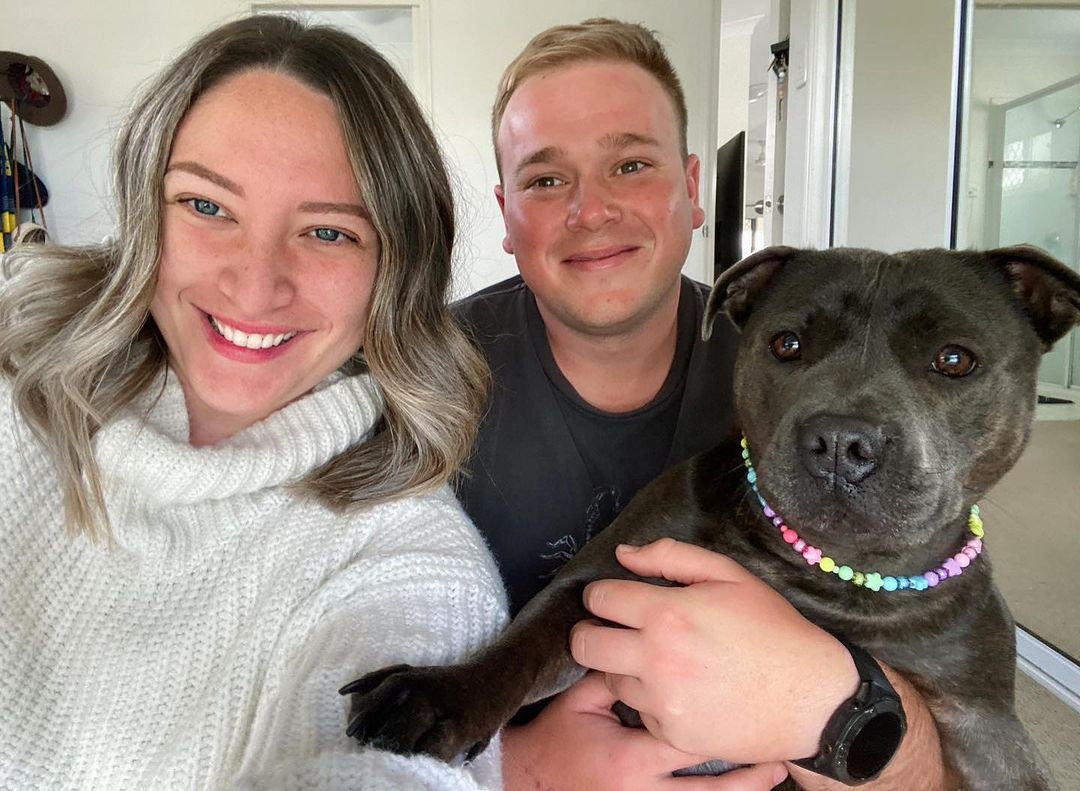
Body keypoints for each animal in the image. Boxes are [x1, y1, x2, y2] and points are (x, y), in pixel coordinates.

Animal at [339, 244, 1080, 786]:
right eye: (786, 344)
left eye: (955, 359)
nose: (843, 439)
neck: (832, 574)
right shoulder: (601, 581)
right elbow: (523, 646)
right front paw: (443, 696)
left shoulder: (986, 724)